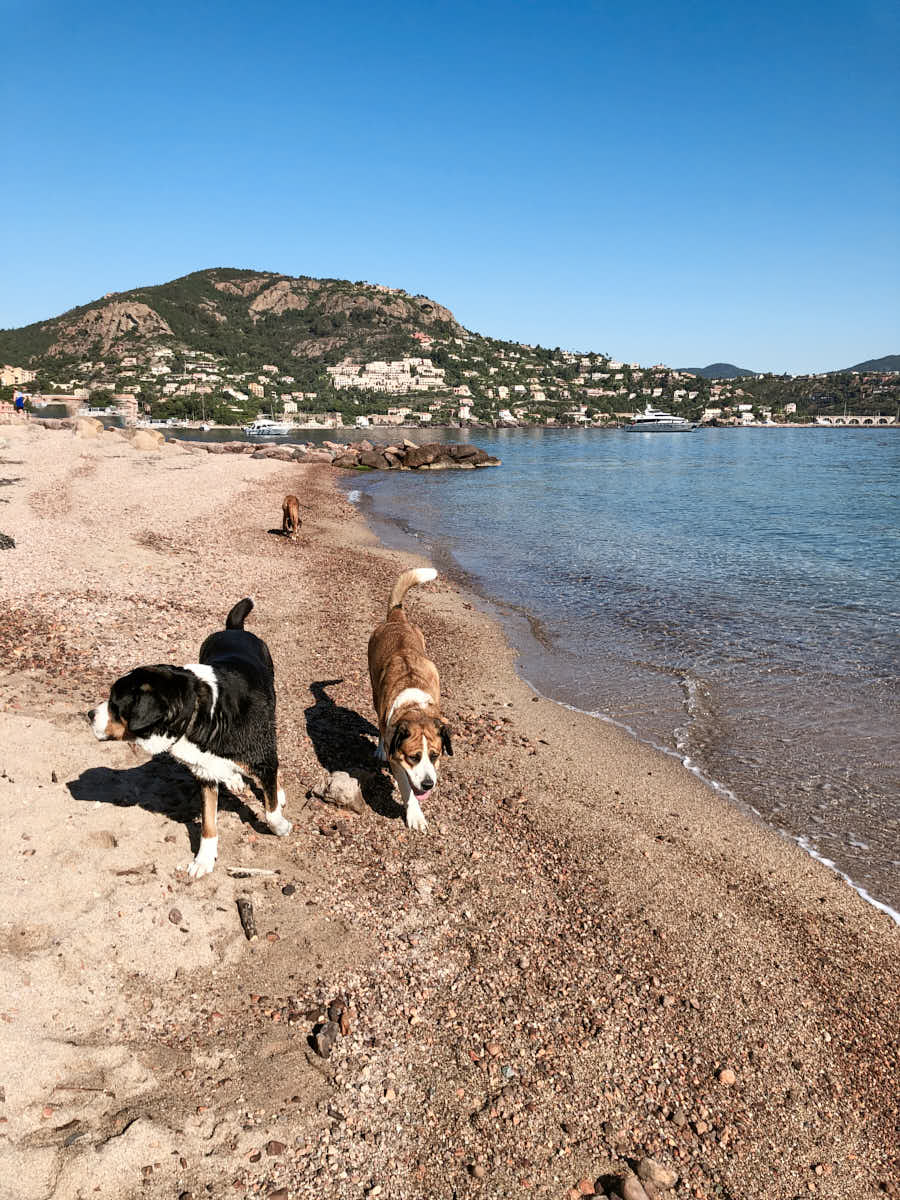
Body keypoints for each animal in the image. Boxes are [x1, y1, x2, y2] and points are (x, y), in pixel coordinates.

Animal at [90, 597, 290, 873]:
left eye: (114, 704)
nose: (89, 714)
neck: (202, 714)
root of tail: (234, 630)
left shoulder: (262, 756)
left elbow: (270, 808)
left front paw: (279, 824)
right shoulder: (204, 773)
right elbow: (208, 823)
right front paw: (203, 860)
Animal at [367, 564, 451, 830]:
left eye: (434, 755)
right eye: (413, 757)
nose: (428, 784)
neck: (416, 708)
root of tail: (397, 618)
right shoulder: (397, 760)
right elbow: (406, 788)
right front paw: (415, 814)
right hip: (375, 692)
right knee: (379, 723)